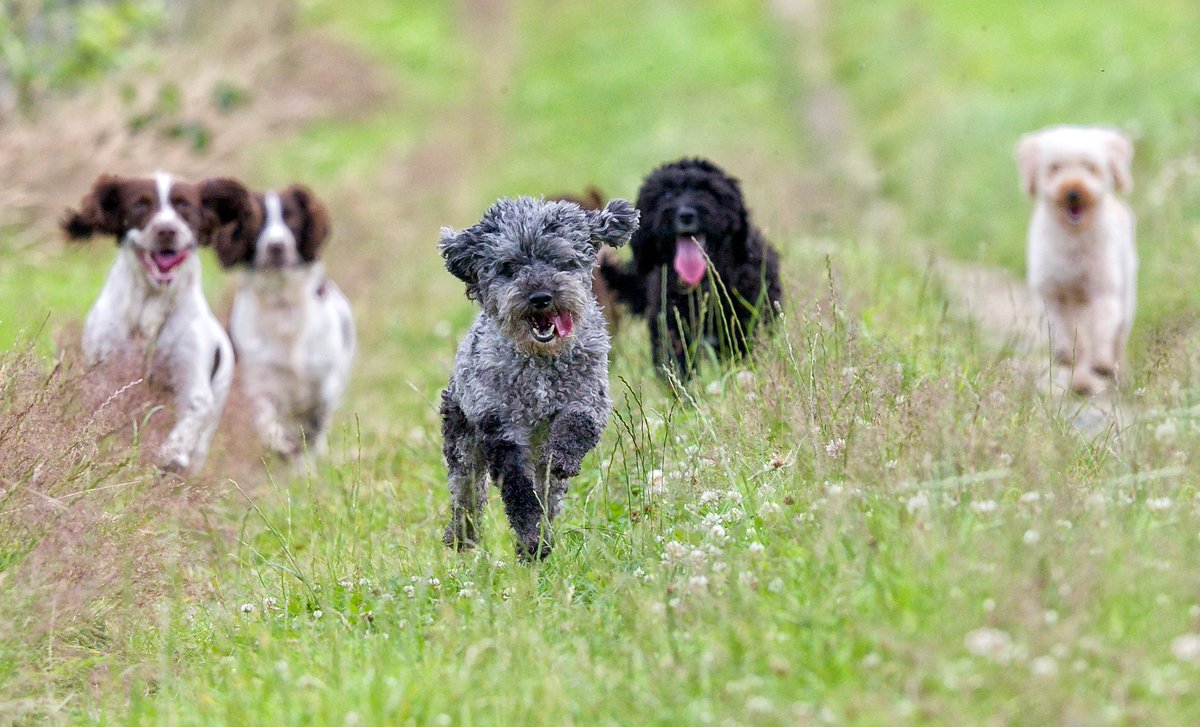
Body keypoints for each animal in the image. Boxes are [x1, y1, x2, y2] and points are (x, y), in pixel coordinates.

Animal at [439, 196, 638, 561]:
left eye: (561, 260)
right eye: (509, 266)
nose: (541, 297)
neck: (541, 362)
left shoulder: (589, 399)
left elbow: (576, 423)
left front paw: (560, 457)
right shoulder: (500, 425)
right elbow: (518, 490)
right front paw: (531, 540)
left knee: (547, 493)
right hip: (461, 441)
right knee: (466, 496)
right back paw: (462, 538)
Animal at [604, 159, 782, 381]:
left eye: (706, 191)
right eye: (666, 194)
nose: (686, 215)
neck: (703, 286)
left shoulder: (743, 326)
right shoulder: (671, 330)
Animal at [1017, 127, 1137, 395]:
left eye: (1090, 167)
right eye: (1055, 168)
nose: (1073, 192)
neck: (1074, 238)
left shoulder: (1103, 289)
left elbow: (1102, 326)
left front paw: (1102, 362)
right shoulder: (1054, 295)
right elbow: (1066, 334)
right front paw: (1067, 358)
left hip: (1126, 292)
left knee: (1117, 337)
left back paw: (1116, 373)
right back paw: (1081, 380)